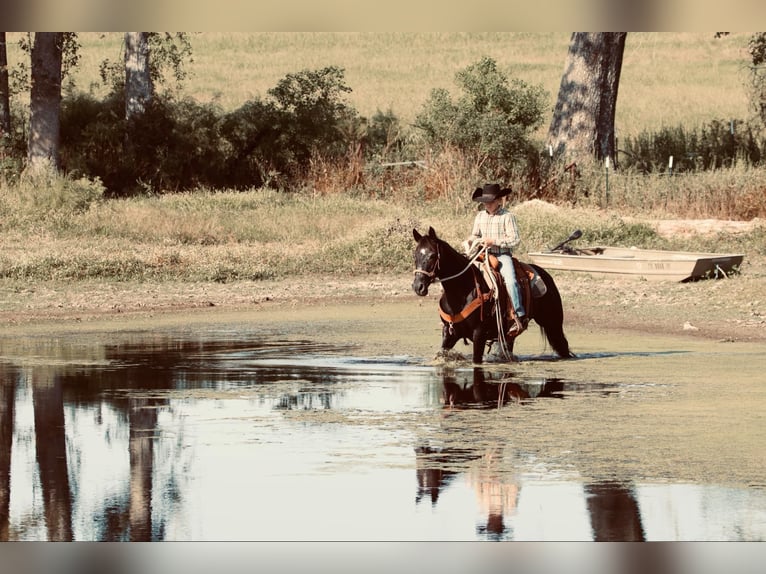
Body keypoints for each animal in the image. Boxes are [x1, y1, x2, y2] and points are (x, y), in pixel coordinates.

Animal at [414, 226, 576, 364]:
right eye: (415, 255)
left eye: (432, 255)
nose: (418, 286)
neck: (461, 292)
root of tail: (545, 274)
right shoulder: (449, 333)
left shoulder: (479, 333)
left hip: (553, 323)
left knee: (563, 345)